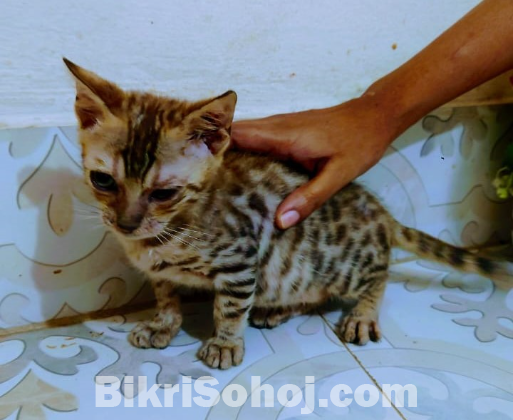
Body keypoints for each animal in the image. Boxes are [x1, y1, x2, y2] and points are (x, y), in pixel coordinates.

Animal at [65, 60, 508, 370]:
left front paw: (225, 343)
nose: (125, 223)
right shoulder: (160, 272)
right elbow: (166, 295)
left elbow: (229, 308)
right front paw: (163, 323)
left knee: (378, 274)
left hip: (338, 263)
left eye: (164, 193)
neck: (171, 232)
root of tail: (377, 209)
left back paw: (362, 314)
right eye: (102, 180)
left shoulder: (240, 259)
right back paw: (276, 309)